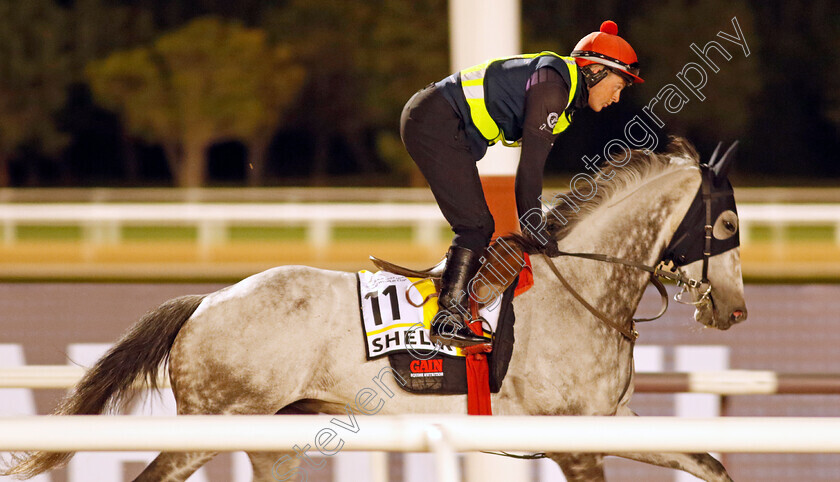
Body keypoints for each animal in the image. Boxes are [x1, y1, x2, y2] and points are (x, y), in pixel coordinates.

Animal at [3, 137, 744, 480]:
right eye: (729, 224)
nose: (735, 310)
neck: (580, 292)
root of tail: (206, 301)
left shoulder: (615, 420)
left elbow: (709, 462)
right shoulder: (575, 439)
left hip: (272, 436)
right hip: (214, 422)